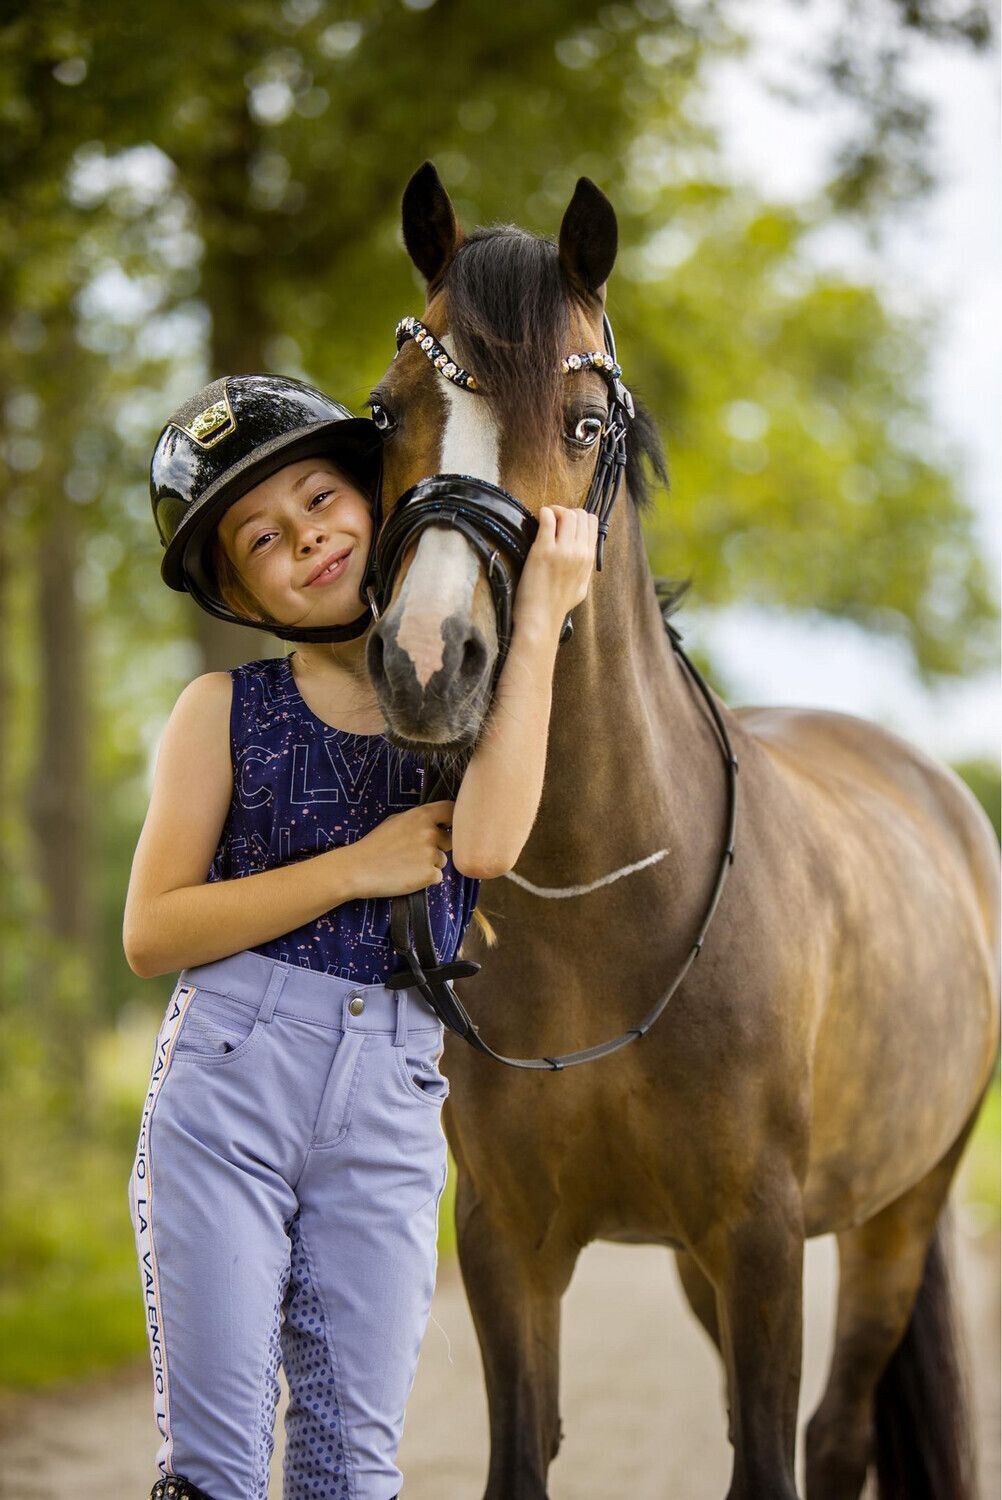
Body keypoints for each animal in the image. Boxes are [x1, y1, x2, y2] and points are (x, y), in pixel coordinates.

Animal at [360, 164, 996, 1500]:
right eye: (388, 414)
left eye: (585, 427)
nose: (430, 661)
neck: (603, 904)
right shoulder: (507, 1242)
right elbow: (522, 1457)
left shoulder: (761, 1240)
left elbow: (768, 1456)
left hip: (896, 1215)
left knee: (835, 1434)